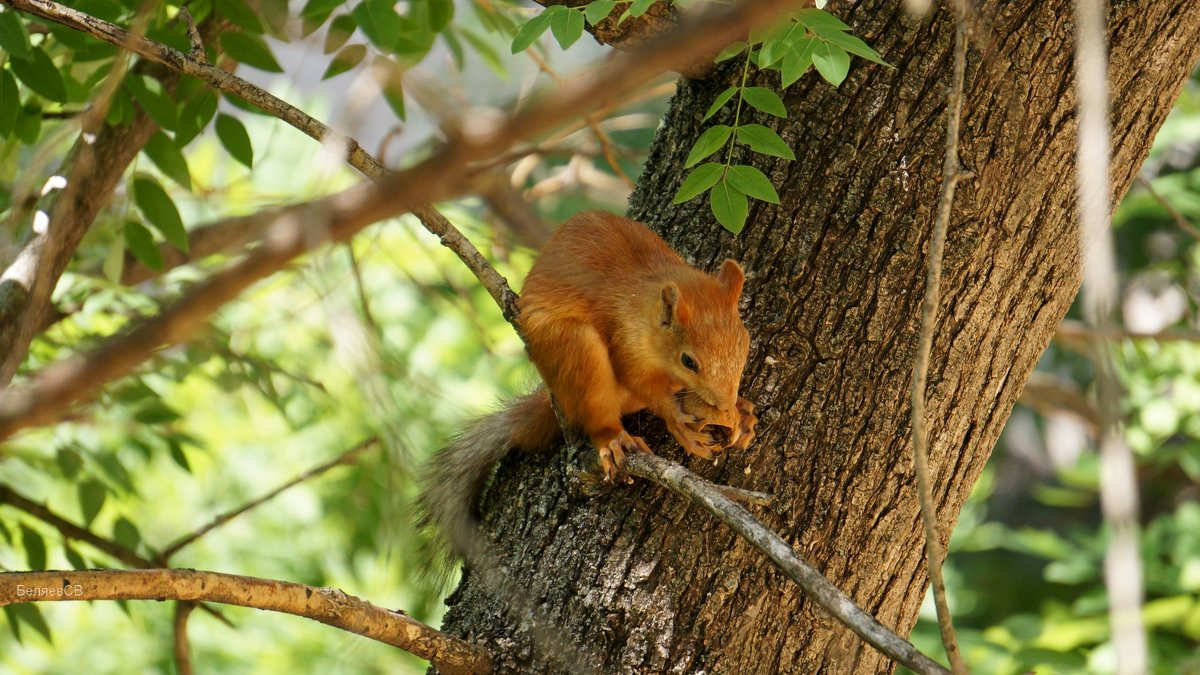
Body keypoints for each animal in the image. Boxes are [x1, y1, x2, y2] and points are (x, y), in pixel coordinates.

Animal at [422, 210, 753, 562]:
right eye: (689, 361)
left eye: (744, 343)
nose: (724, 402)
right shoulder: (626, 341)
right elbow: (640, 381)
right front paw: (678, 422)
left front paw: (736, 410)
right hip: (578, 354)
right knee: (597, 415)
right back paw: (613, 440)